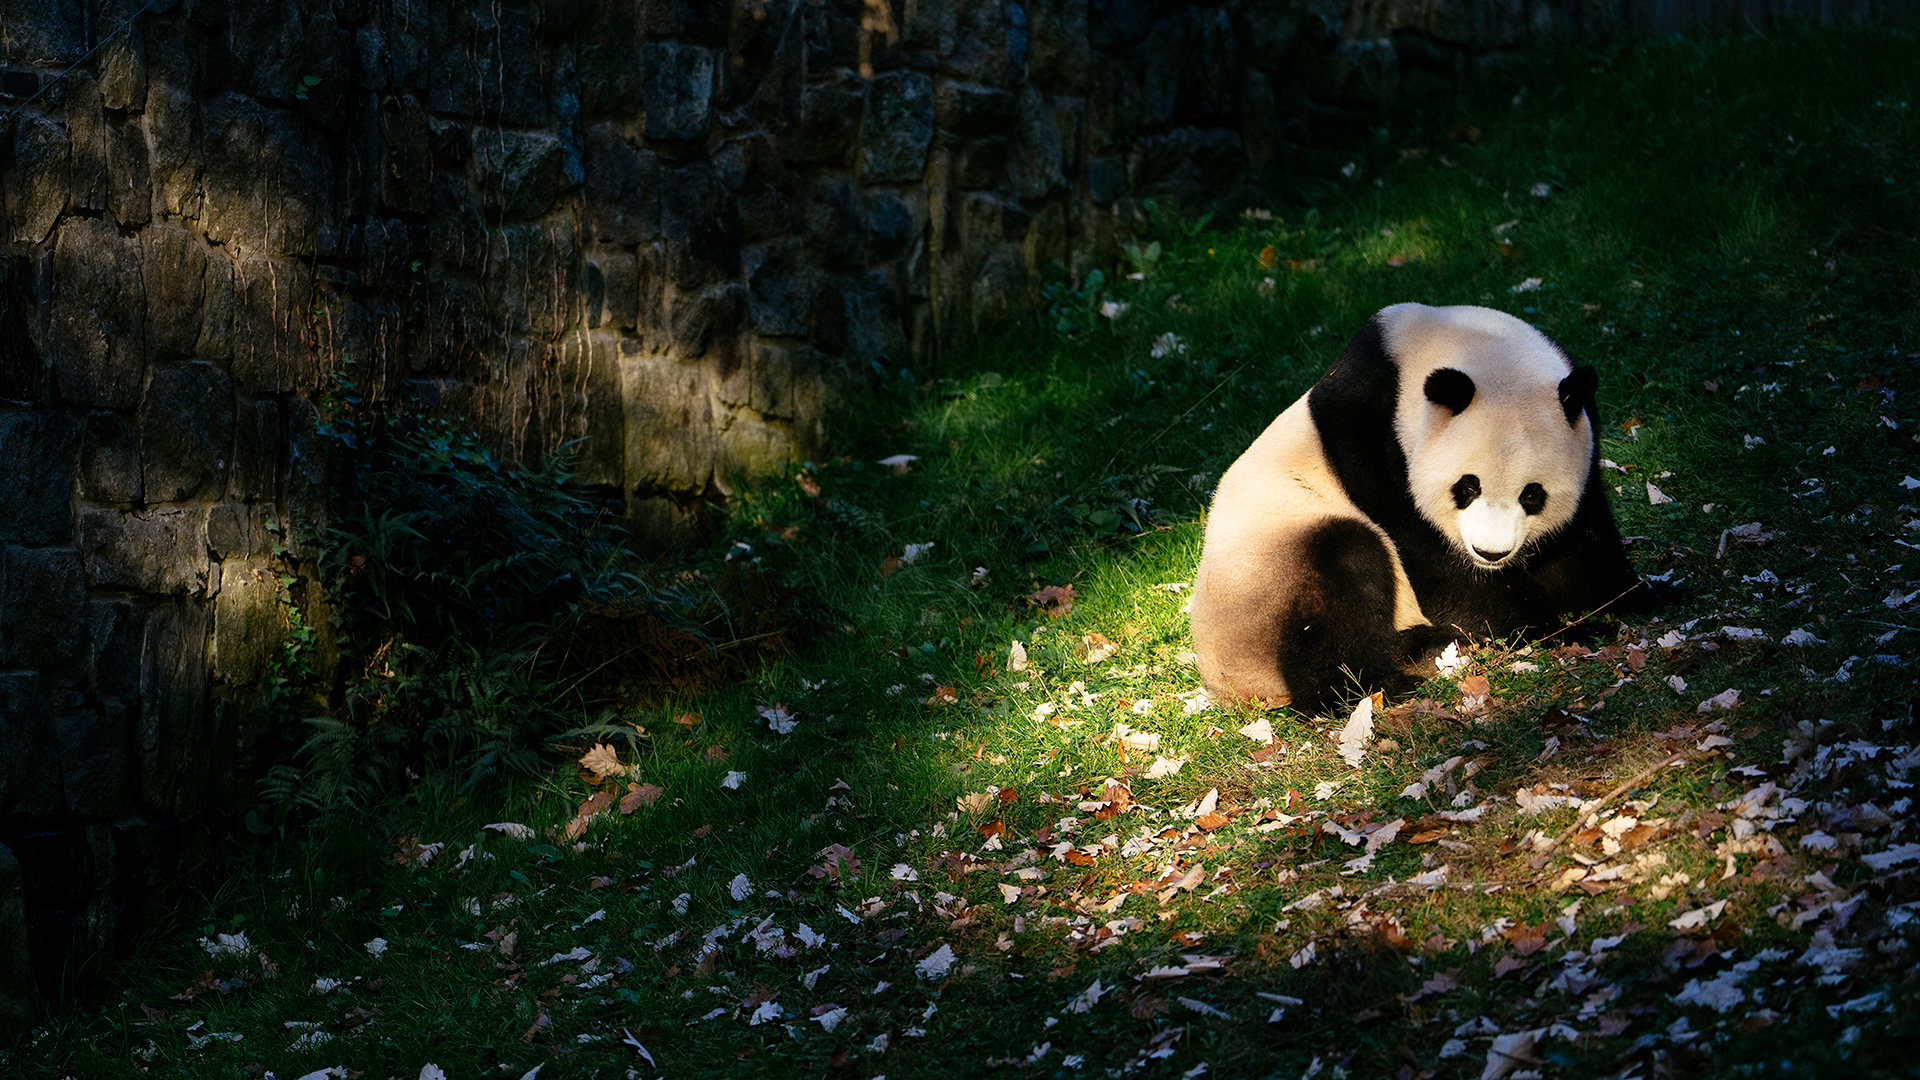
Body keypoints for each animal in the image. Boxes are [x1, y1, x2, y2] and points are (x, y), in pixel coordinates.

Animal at [1182, 299, 1651, 714]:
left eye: (1532, 494)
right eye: (1467, 487)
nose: (1492, 553)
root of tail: (1232, 687)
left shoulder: (1584, 430)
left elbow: (1583, 536)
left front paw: (1633, 598)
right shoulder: (1372, 445)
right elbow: (1435, 564)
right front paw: (1558, 626)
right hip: (1263, 571)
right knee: (1339, 572)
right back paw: (1385, 679)